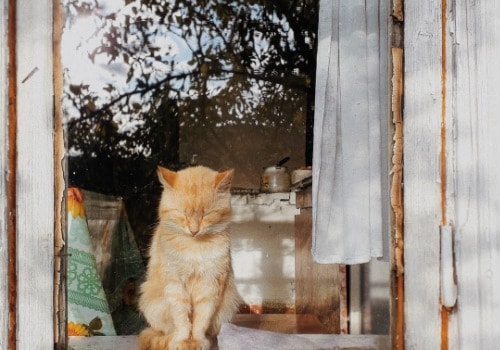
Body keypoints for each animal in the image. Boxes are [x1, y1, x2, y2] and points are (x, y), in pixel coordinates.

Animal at [138, 165, 241, 350]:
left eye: (206, 215)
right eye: (183, 214)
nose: (194, 231)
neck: (194, 246)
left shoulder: (210, 285)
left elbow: (201, 320)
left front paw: (199, 341)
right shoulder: (175, 285)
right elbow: (182, 320)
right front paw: (181, 341)